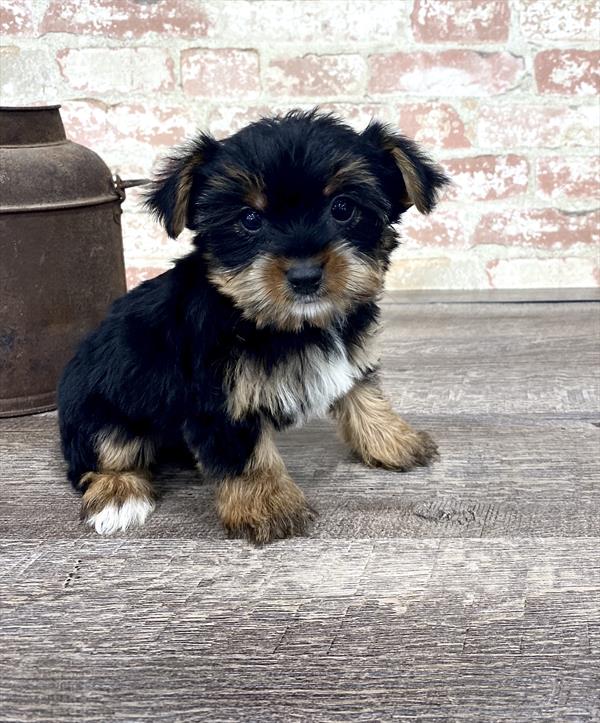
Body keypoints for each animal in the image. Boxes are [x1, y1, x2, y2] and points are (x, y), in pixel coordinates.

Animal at [57, 110, 450, 544]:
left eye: (343, 208)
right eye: (249, 219)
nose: (305, 275)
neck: (286, 324)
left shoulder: (352, 351)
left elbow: (363, 392)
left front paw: (392, 440)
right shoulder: (218, 398)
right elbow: (244, 455)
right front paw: (268, 506)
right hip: (101, 408)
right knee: (104, 451)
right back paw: (118, 494)